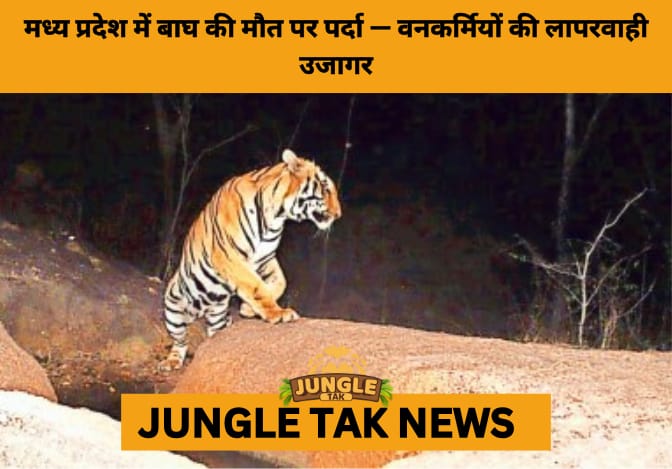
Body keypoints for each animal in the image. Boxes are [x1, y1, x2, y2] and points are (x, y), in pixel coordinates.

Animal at [158, 149, 342, 371]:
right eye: (325, 188)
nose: (339, 214)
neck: (276, 217)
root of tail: (201, 312)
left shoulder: (265, 258)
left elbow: (280, 282)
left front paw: (248, 309)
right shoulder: (230, 256)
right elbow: (255, 285)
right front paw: (278, 314)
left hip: (218, 315)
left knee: (213, 337)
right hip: (173, 309)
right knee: (180, 341)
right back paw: (172, 361)